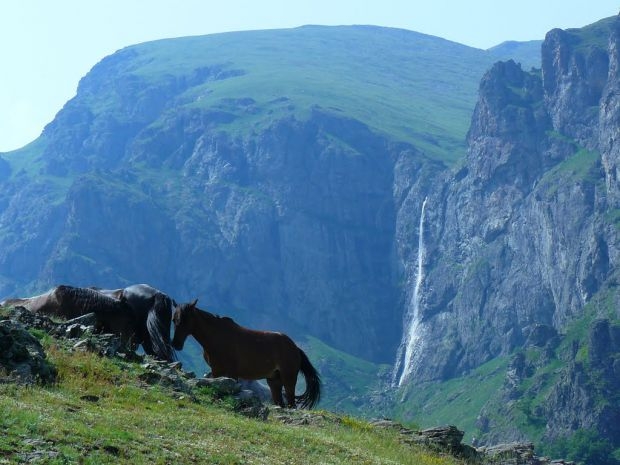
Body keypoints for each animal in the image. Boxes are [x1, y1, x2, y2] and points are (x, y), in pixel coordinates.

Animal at [172, 300, 322, 408]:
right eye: (174, 319)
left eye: (186, 319)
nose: (176, 344)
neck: (217, 336)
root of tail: (295, 348)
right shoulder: (217, 371)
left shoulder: (228, 373)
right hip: (274, 381)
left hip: (288, 379)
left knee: (291, 404)